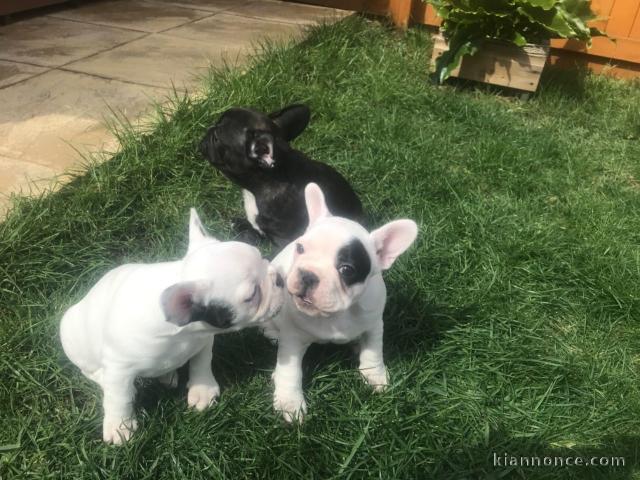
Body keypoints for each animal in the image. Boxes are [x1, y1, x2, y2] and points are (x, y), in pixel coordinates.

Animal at [58, 208, 284, 444]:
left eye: (262, 257)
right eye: (252, 295)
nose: (278, 277)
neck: (182, 334)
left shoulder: (203, 340)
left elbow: (202, 362)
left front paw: (202, 389)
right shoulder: (119, 366)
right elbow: (118, 398)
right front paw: (119, 426)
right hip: (71, 335)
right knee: (90, 372)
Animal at [262, 182, 418, 422]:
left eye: (346, 269)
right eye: (300, 248)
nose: (308, 275)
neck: (336, 315)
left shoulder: (374, 324)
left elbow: (373, 350)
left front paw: (374, 375)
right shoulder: (293, 337)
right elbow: (290, 372)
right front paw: (290, 402)